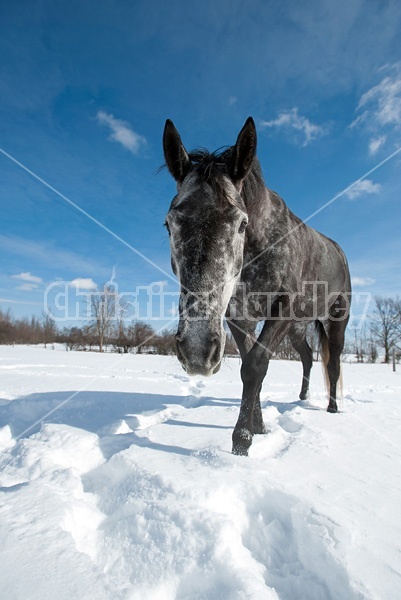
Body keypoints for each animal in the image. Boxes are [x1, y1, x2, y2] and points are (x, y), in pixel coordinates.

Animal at [162, 117, 350, 454]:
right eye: (169, 225)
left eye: (242, 224)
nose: (197, 351)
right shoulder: (239, 318)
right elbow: (250, 368)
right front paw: (259, 427)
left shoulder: (281, 310)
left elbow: (255, 366)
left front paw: (241, 441)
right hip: (298, 329)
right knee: (307, 357)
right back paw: (302, 398)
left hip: (336, 320)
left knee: (333, 363)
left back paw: (331, 408)